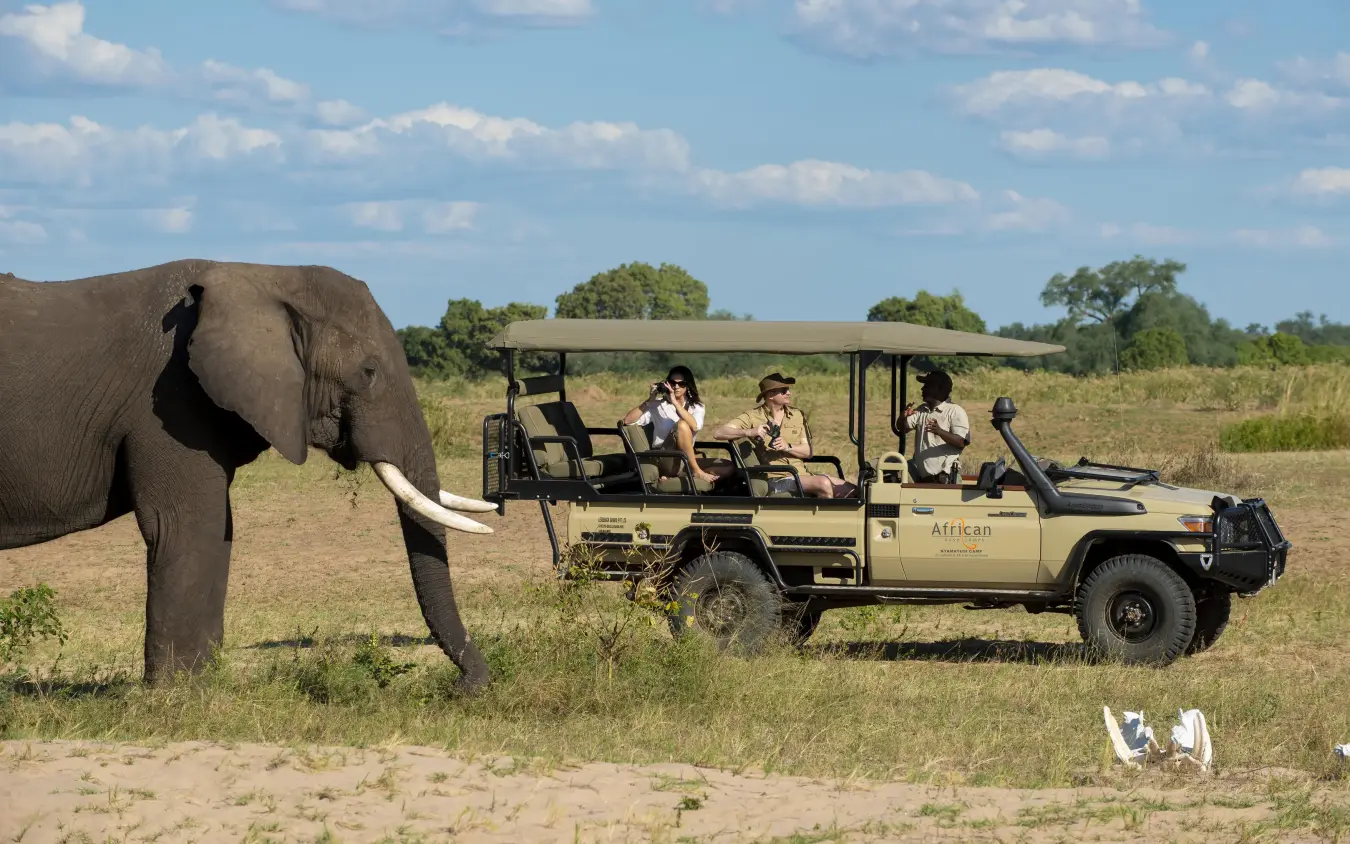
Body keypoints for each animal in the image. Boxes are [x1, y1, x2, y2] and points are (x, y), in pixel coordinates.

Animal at [0, 259, 496, 693]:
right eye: (369, 372)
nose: (466, 686)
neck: (264, 276)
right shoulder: (168, 403)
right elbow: (186, 526)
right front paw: (178, 697)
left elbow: (220, 529)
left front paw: (201, 686)